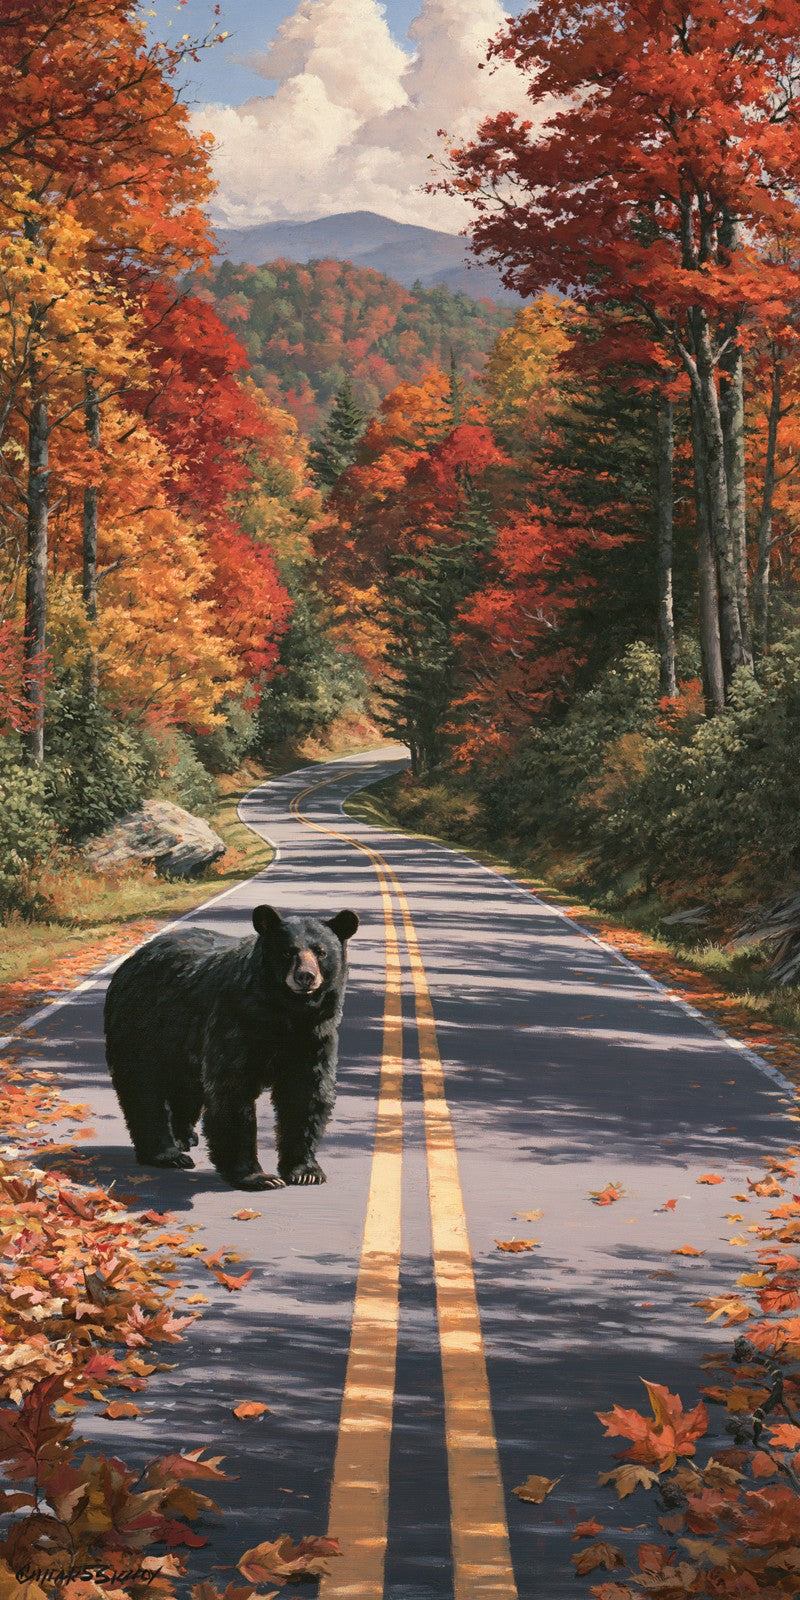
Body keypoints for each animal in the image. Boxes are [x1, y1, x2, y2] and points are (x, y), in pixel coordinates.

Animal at [103, 903, 359, 1191]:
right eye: (287, 951)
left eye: (321, 951)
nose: (306, 976)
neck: (286, 1014)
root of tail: (131, 961)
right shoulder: (234, 1023)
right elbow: (232, 1091)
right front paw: (258, 1176)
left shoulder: (313, 1038)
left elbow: (305, 1094)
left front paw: (306, 1171)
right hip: (143, 1027)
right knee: (144, 1088)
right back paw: (167, 1153)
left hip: (182, 1043)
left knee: (186, 1088)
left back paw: (184, 1137)